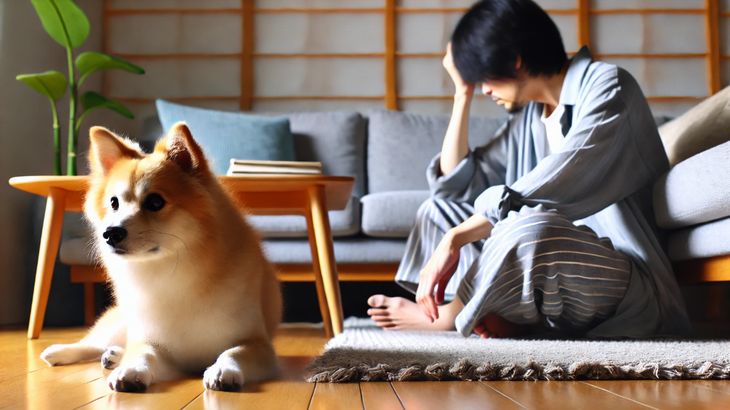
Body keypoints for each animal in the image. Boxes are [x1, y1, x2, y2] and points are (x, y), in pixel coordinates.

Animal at [39, 121, 282, 390]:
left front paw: (223, 369)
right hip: (121, 323)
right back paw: (63, 352)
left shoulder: (257, 344)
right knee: (94, 343)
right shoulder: (154, 342)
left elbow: (234, 351)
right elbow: (143, 352)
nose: (110, 233)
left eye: (155, 202)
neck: (171, 272)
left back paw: (113, 355)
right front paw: (131, 369)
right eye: (114, 203)